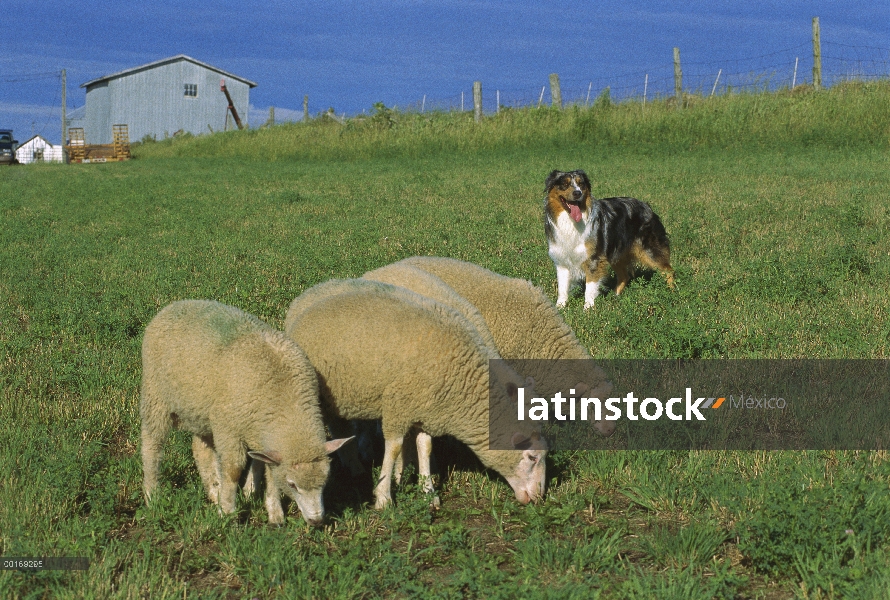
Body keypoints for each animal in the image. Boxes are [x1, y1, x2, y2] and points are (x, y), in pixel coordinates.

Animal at [140, 300, 352, 524]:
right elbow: (233, 469)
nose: (317, 520)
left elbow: (268, 471)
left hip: (200, 410)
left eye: (325, 481)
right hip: (155, 396)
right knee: (152, 445)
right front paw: (227, 511)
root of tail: (177, 304)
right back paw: (152, 495)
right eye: (292, 484)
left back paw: (214, 491)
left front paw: (273, 512)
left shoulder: (261, 434)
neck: (284, 398)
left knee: (200, 448)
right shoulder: (229, 428)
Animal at [284, 278, 548, 508]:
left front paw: (428, 491)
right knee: (338, 427)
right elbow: (393, 448)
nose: (539, 497)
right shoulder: (398, 403)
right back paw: (355, 466)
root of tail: (307, 298)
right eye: (532, 458)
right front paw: (383, 497)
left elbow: (425, 447)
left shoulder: (426, 409)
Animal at [540, 169, 672, 310]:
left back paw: (671, 292)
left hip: (649, 251)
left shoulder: (593, 259)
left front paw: (588, 308)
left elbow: (590, 287)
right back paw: (615, 296)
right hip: (617, 253)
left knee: (668, 270)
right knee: (624, 276)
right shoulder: (562, 260)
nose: (577, 193)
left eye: (581, 184)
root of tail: (647, 206)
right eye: (565, 184)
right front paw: (559, 307)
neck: (570, 221)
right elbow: (562, 287)